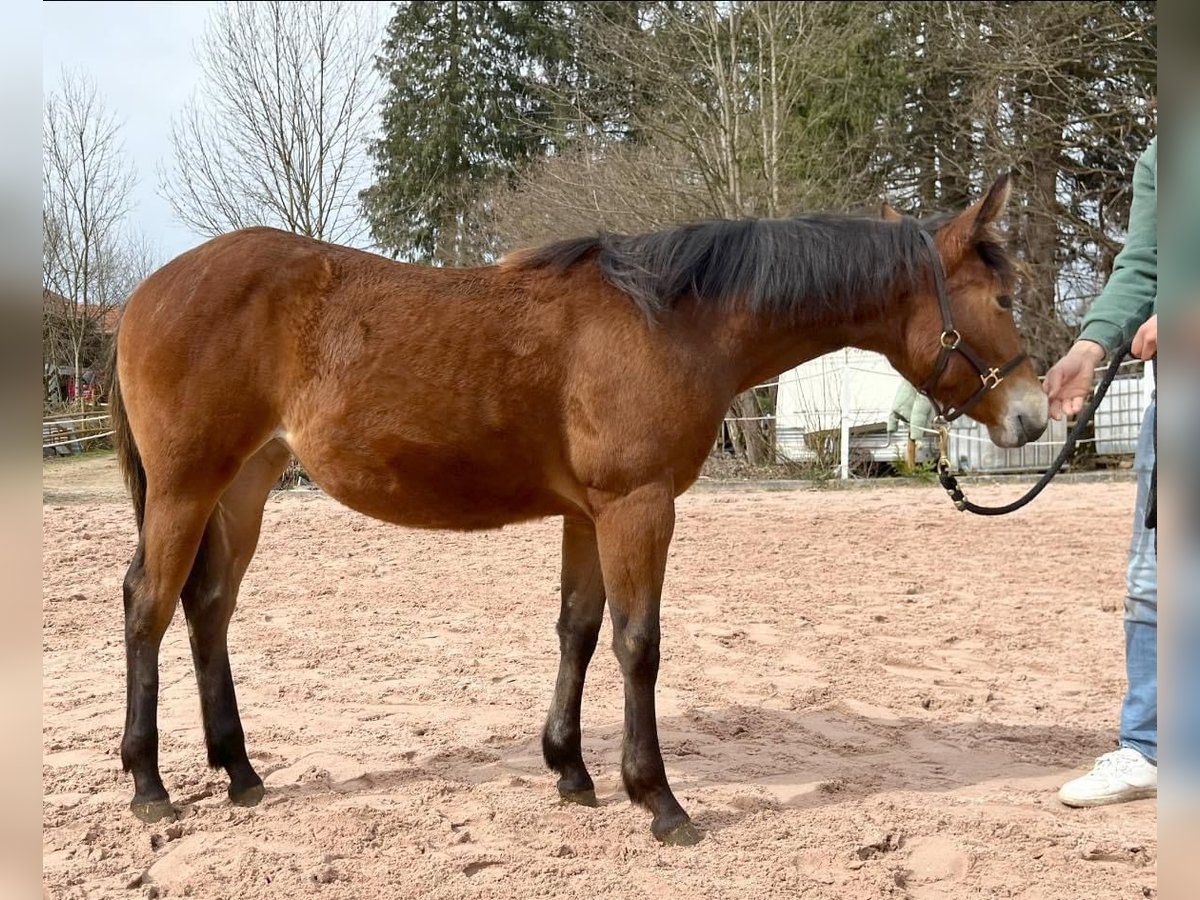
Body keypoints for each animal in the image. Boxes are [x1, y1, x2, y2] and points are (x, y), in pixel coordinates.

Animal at [108, 174, 1046, 844]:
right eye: (1002, 300)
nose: (1036, 416)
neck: (672, 321)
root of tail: (147, 292)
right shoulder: (638, 505)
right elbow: (639, 645)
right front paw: (658, 799)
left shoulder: (587, 514)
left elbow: (579, 631)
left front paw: (571, 771)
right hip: (188, 487)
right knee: (149, 606)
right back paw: (150, 785)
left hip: (244, 485)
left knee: (208, 608)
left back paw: (240, 773)